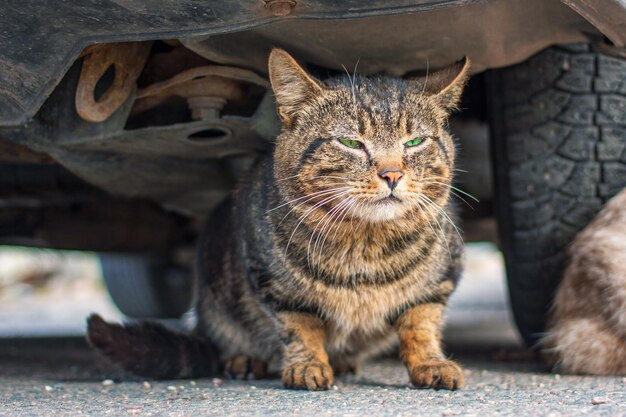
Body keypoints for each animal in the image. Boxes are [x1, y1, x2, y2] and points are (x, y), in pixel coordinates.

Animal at [86, 49, 468, 390]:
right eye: (350, 142)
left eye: (415, 142)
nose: (392, 174)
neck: (365, 245)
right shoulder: (275, 287)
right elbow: (301, 329)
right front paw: (307, 365)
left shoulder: (439, 282)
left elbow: (420, 326)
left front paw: (431, 364)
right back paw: (244, 360)